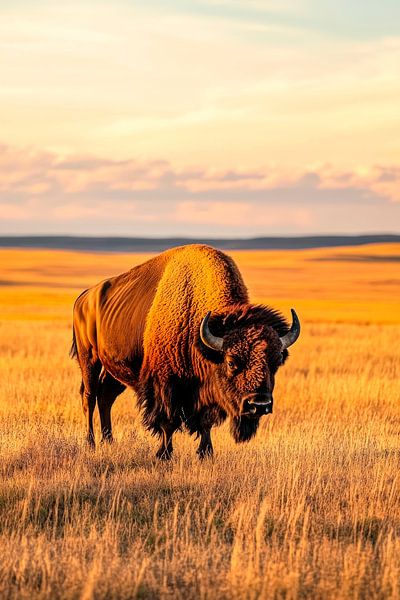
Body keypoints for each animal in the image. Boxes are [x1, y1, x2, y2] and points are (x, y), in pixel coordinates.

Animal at [70, 244, 298, 460]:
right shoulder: (165, 384)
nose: (259, 404)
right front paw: (164, 454)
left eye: (276, 362)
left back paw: (109, 441)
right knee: (89, 396)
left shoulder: (204, 393)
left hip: (115, 370)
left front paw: (206, 453)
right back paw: (90, 443)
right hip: (89, 358)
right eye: (231, 362)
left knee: (106, 396)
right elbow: (168, 422)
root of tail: (84, 297)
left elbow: (205, 422)